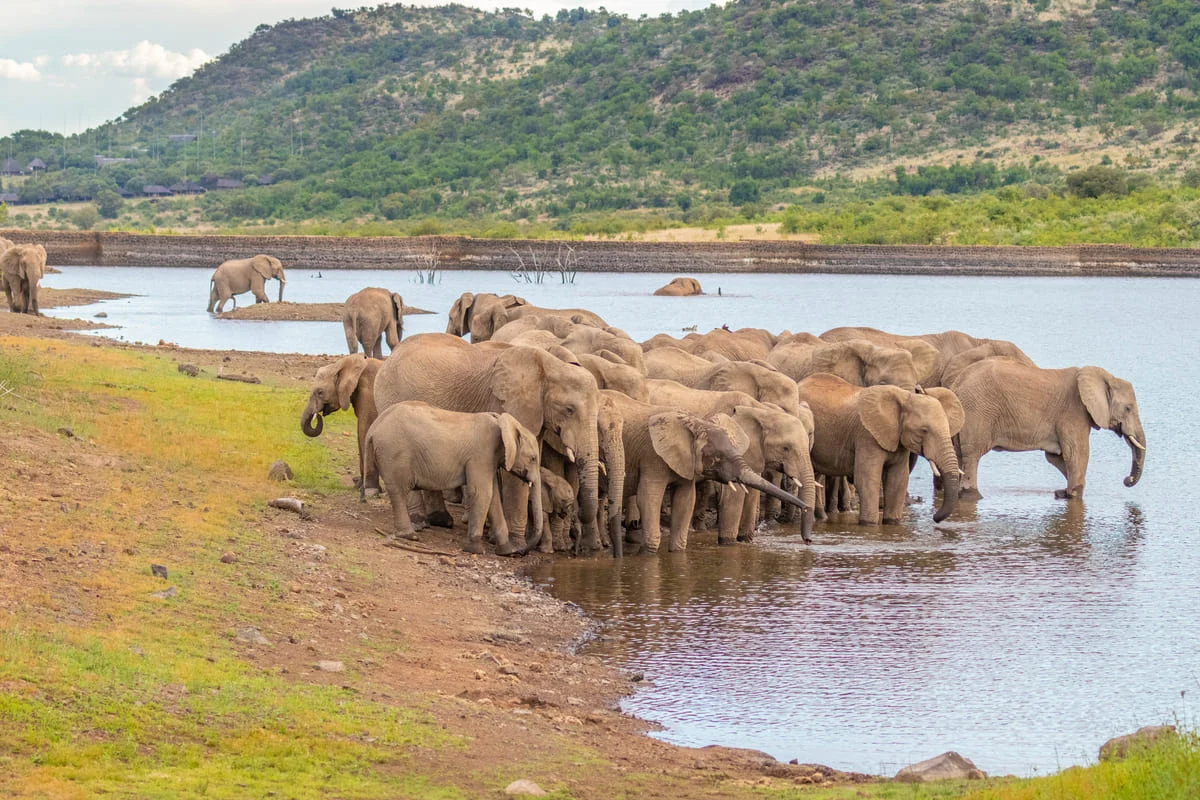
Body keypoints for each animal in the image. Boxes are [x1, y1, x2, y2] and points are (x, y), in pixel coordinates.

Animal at [300, 355, 384, 494]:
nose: (318, 415)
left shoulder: (369, 394)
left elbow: (365, 430)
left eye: (320, 392)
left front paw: (369, 489)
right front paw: (358, 487)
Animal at [357, 402, 542, 554]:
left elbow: (493, 498)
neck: (504, 423)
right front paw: (475, 550)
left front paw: (508, 552)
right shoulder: (481, 454)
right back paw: (410, 536)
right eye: (533, 458)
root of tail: (374, 428)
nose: (523, 551)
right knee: (399, 491)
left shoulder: (489, 459)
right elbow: (482, 493)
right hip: (394, 453)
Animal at [796, 374, 964, 525]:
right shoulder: (866, 436)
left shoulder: (897, 439)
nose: (935, 518)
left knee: (816, 475)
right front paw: (869, 524)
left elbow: (898, 480)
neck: (905, 398)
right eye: (924, 430)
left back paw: (820, 517)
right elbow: (867, 480)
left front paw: (892, 523)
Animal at [945, 362, 1142, 501]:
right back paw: (974, 495)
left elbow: (1056, 457)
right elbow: (1076, 454)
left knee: (959, 454)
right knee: (972, 455)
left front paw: (1063, 493)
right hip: (977, 412)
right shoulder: (1074, 413)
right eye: (1128, 408)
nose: (1127, 480)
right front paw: (1073, 494)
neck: (1105, 377)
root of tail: (957, 384)